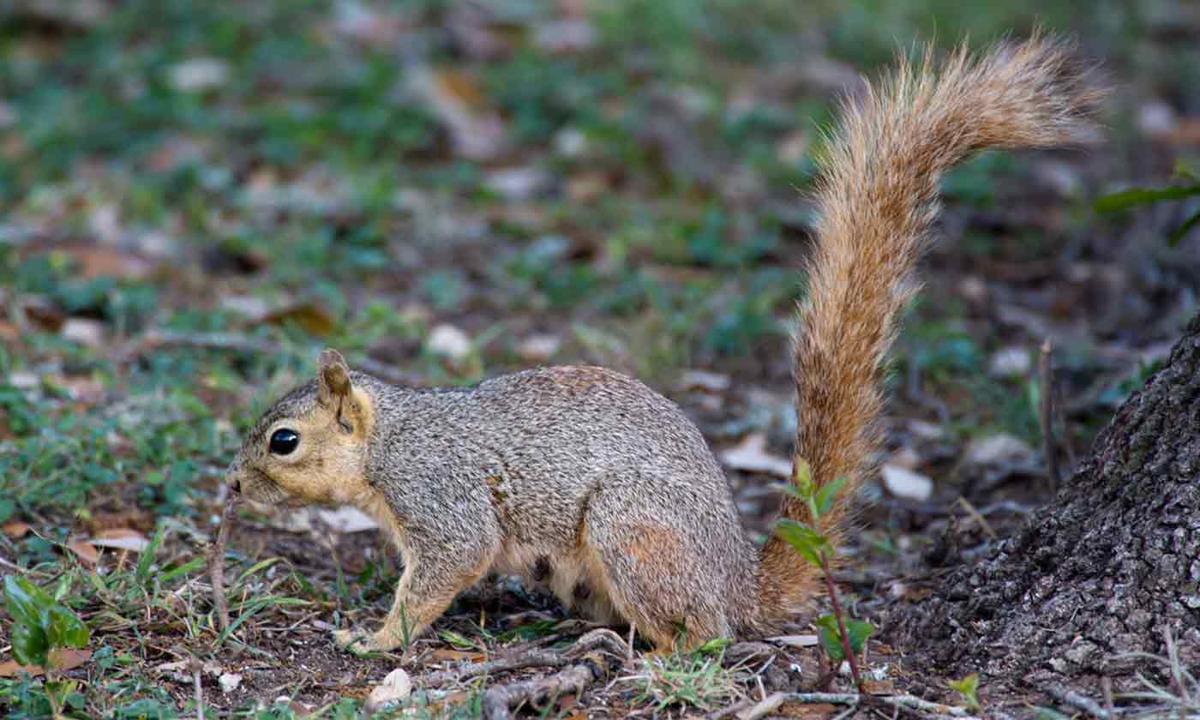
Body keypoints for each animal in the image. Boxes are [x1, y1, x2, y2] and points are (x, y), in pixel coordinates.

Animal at [225, 36, 1099, 655]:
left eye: (284, 440)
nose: (232, 487)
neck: (390, 442)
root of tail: (738, 585)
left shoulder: (443, 501)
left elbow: (438, 575)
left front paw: (373, 641)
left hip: (635, 532)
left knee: (704, 637)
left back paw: (649, 659)